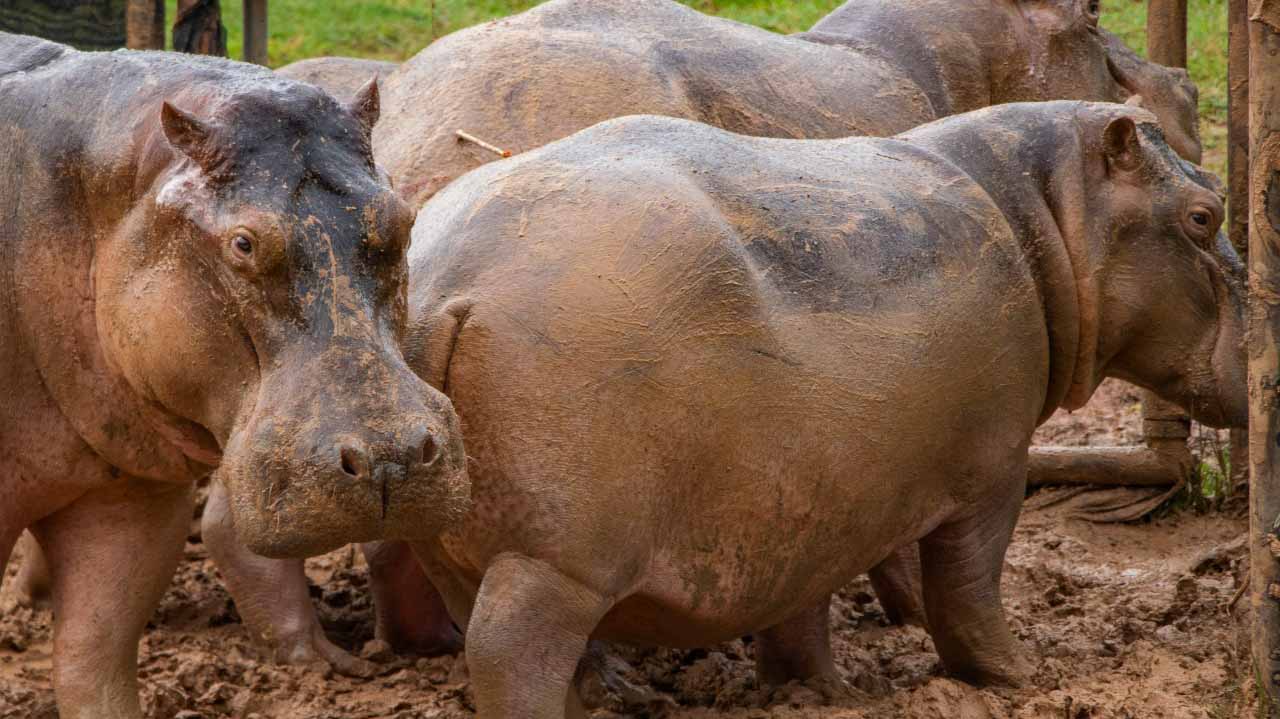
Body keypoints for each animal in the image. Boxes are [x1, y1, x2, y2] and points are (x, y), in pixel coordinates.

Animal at [396, 101, 1244, 716]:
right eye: (1205, 214)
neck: (1047, 211)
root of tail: (449, 288)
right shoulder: (994, 470)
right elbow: (967, 589)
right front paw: (1021, 679)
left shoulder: (802, 496)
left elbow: (803, 601)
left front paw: (819, 693)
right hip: (555, 564)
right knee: (511, 652)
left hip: (461, 548)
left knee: (492, 633)